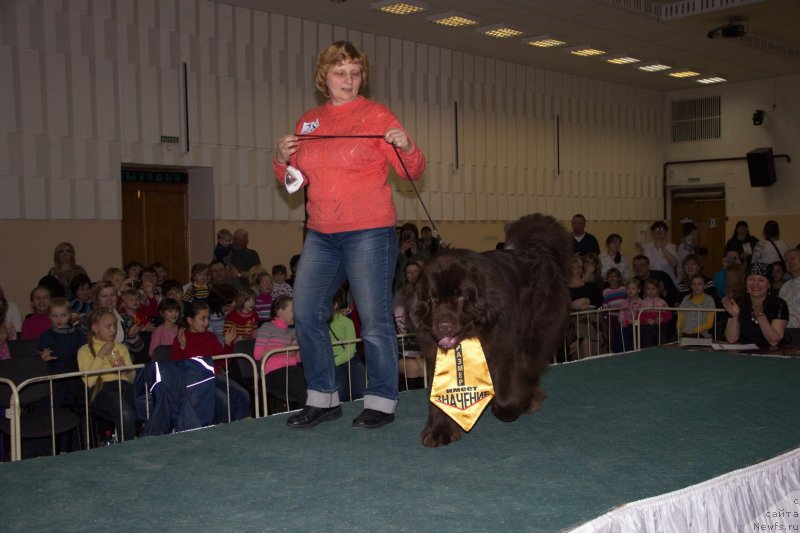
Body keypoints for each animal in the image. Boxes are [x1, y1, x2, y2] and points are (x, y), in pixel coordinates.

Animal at [410, 212, 572, 444]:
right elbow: (437, 391)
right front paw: (439, 430)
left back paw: (528, 398)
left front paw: (512, 405)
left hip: (537, 333)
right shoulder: (435, 353)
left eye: (461, 297)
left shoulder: (502, 347)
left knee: (529, 368)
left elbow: (506, 390)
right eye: (432, 298)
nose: (444, 325)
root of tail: (539, 250)